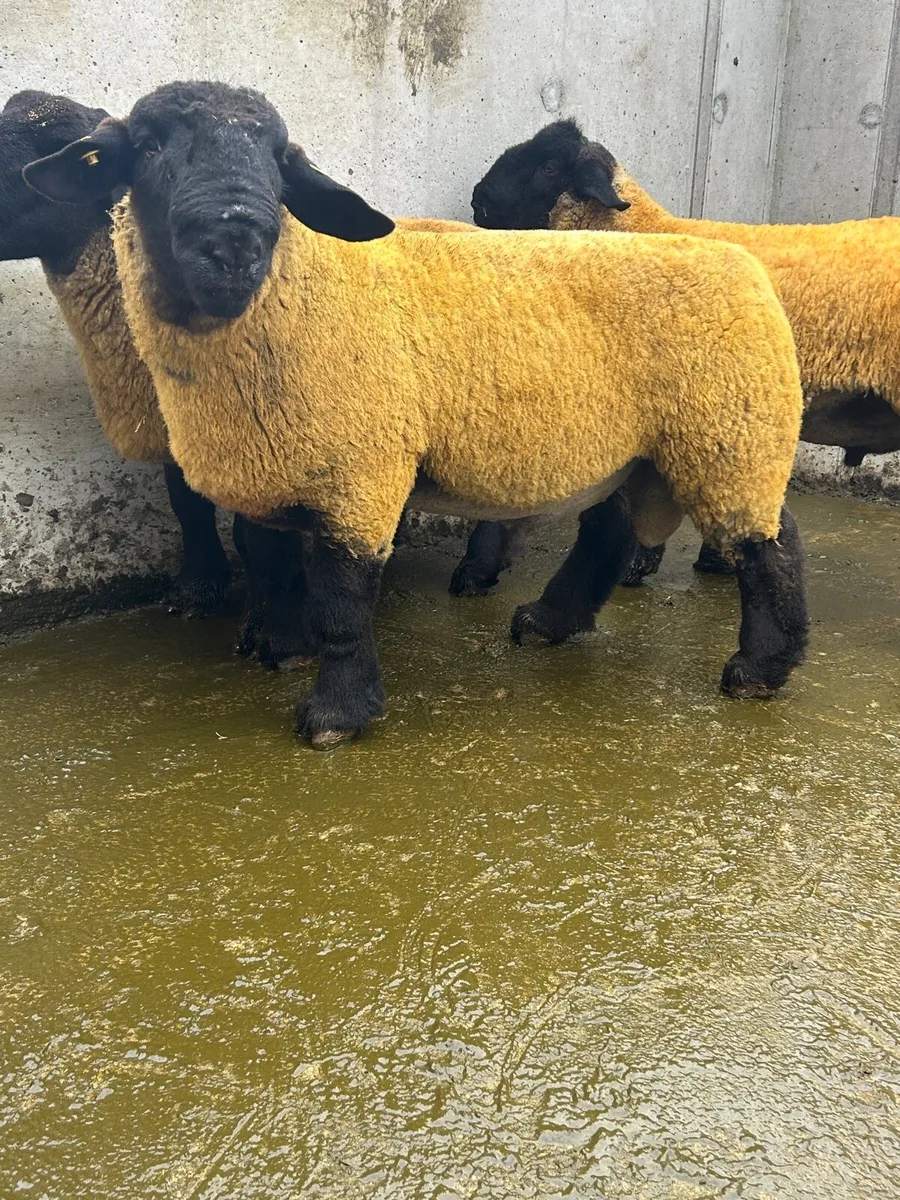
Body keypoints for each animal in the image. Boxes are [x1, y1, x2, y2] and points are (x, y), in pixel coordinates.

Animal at [25, 81, 809, 747]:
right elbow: (269, 562)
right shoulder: (268, 464)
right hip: (645, 447)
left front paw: (336, 714)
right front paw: (276, 648)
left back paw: (760, 670)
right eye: (148, 148)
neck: (301, 295)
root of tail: (739, 263)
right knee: (610, 532)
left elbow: (341, 601)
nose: (234, 245)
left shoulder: (361, 474)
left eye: (279, 162)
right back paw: (550, 622)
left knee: (771, 545)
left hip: (730, 431)